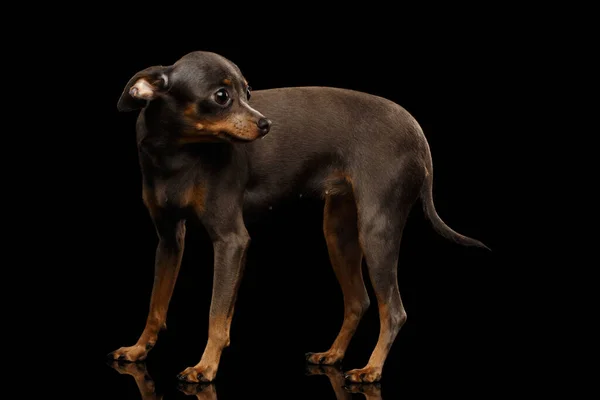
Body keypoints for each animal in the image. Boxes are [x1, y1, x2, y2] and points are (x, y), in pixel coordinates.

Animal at [106, 50, 488, 384]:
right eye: (221, 96)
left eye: (248, 91)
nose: (266, 124)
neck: (176, 153)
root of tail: (416, 131)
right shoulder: (169, 240)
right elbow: (156, 303)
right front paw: (139, 348)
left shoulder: (231, 241)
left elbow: (217, 313)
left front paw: (205, 367)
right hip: (338, 233)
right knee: (359, 300)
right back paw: (333, 355)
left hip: (377, 231)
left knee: (393, 310)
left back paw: (370, 370)